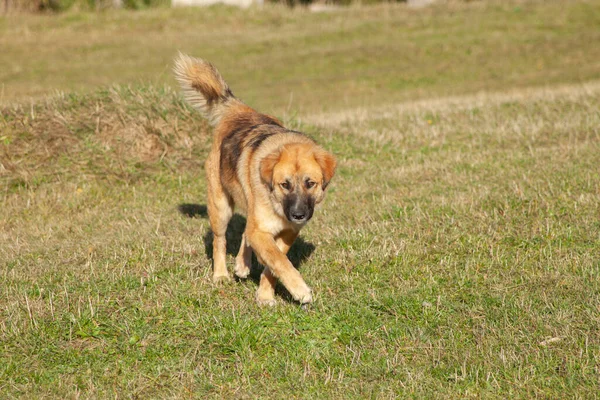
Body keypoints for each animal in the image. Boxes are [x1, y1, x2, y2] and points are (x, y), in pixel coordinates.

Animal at [172, 54, 338, 306]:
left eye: (310, 183)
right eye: (285, 184)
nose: (298, 215)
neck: (278, 206)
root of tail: (238, 109)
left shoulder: (288, 233)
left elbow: (274, 262)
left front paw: (265, 294)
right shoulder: (261, 231)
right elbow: (278, 260)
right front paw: (300, 290)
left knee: (244, 233)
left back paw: (242, 264)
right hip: (220, 208)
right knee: (219, 241)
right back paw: (221, 275)